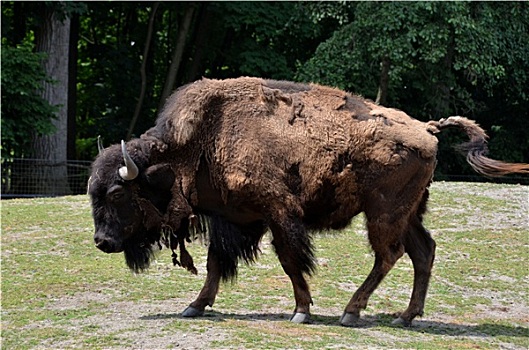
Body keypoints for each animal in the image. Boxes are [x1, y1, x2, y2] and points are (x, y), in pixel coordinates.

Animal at [87, 76, 528, 326]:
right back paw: (407, 317)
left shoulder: (278, 214)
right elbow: (215, 264)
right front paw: (194, 306)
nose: (102, 242)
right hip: (408, 213)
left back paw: (352, 312)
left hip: (383, 213)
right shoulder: (233, 219)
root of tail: (426, 128)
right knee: (423, 251)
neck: (198, 143)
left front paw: (302, 311)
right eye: (93, 191)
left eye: (117, 193)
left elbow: (290, 261)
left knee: (390, 254)